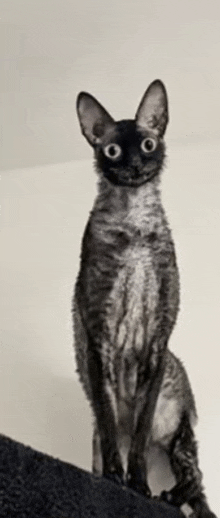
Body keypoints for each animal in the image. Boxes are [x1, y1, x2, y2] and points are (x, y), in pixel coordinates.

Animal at [72, 81, 217, 518]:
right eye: (112, 150)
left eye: (149, 144)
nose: (135, 165)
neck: (133, 221)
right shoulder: (97, 338)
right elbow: (109, 425)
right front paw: (114, 482)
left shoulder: (157, 341)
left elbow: (137, 434)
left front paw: (137, 487)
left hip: (178, 431)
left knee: (195, 477)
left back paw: (168, 497)